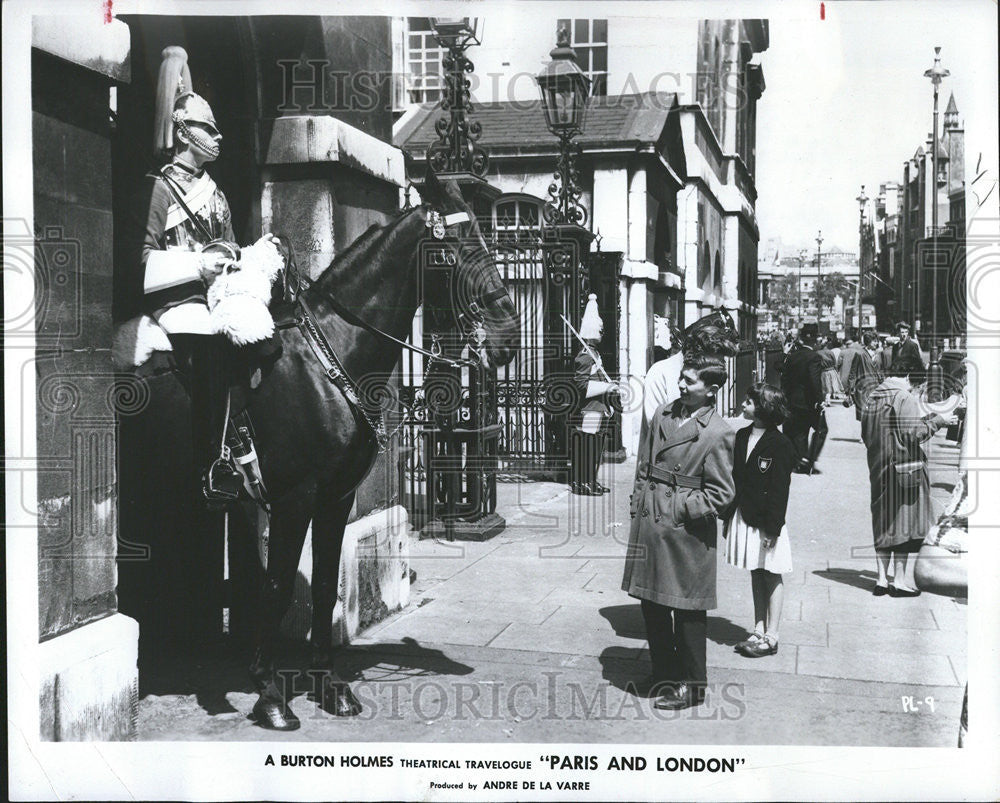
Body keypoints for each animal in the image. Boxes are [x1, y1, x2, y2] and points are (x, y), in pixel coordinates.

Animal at [229, 174, 520, 728]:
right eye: (451, 248)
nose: (509, 333)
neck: (329, 358)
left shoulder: (335, 496)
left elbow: (325, 586)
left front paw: (329, 686)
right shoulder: (295, 496)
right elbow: (278, 587)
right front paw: (269, 692)